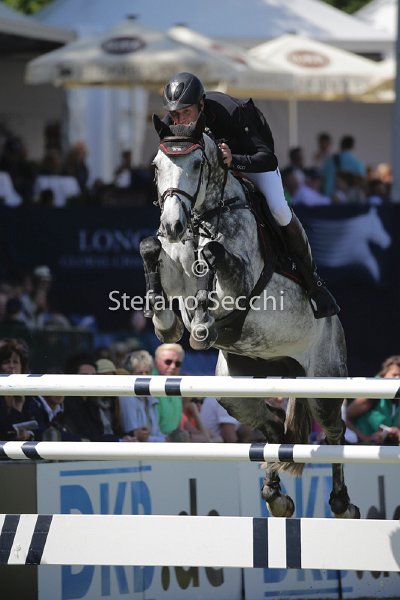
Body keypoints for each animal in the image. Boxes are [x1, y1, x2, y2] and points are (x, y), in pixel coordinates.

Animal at [140, 113, 360, 519]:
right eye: (156, 166)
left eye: (197, 164)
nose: (173, 226)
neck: (202, 218)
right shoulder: (171, 269)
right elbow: (150, 249)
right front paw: (169, 324)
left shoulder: (240, 284)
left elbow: (213, 254)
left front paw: (203, 324)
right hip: (235, 392)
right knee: (274, 430)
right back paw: (276, 496)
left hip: (323, 381)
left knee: (335, 431)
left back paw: (341, 503)